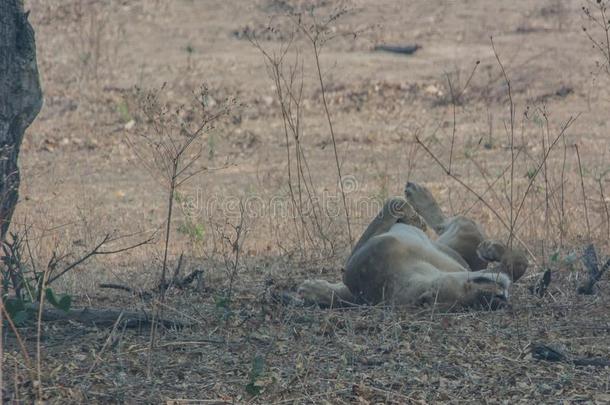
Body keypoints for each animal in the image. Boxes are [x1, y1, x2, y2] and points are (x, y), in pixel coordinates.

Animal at [296, 181, 524, 308]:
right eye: (470, 292)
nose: (499, 298)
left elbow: (392, 202)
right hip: (458, 238)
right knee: (445, 223)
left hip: (460, 235)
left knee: (446, 223)